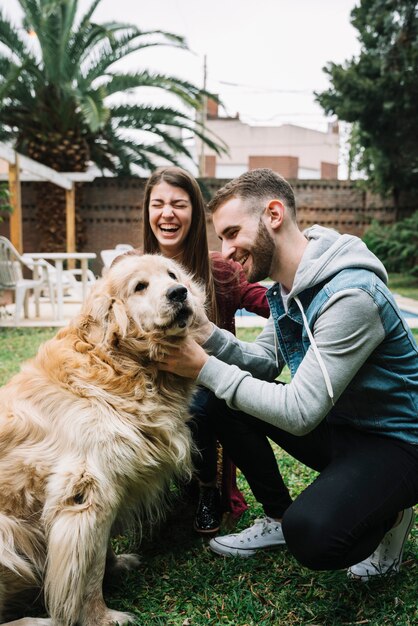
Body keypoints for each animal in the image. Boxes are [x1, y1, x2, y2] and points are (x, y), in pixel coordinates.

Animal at [0, 252, 206, 624]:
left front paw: (116, 566)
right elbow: (86, 571)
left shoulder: (110, 487)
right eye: (140, 286)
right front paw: (99, 616)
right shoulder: (86, 492)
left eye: (172, 275)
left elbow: (98, 552)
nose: (179, 293)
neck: (119, 363)